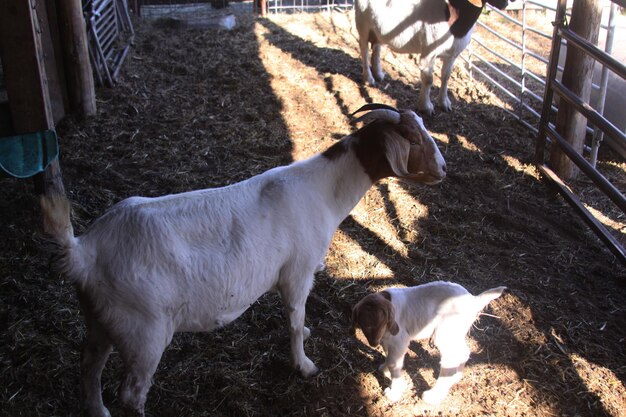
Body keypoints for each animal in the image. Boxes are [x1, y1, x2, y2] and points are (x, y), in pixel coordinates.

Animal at [40, 103, 444, 416]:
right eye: (413, 139)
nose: (443, 169)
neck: (324, 191)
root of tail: (85, 251)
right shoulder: (297, 274)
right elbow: (295, 320)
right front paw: (304, 365)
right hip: (144, 331)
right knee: (131, 393)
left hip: (101, 319)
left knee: (88, 366)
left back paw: (98, 410)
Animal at [348, 280, 504, 404]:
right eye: (364, 325)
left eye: (381, 322)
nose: (374, 343)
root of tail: (473, 300)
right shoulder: (389, 341)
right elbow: (390, 357)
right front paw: (384, 369)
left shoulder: (400, 340)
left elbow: (394, 363)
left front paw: (394, 392)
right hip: (456, 333)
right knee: (464, 352)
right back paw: (456, 377)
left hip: (445, 333)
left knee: (452, 359)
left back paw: (434, 396)